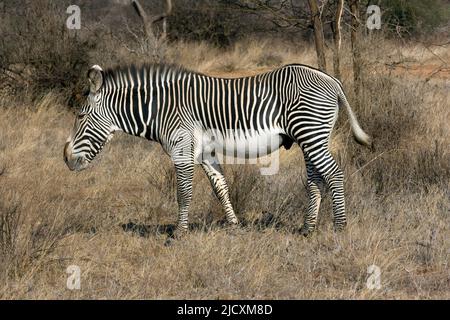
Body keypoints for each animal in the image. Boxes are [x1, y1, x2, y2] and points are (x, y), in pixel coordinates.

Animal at [64, 63, 372, 238]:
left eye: (80, 116)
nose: (65, 159)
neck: (161, 109)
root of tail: (332, 80)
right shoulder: (204, 153)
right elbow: (220, 186)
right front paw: (234, 226)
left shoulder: (182, 148)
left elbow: (183, 192)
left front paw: (179, 233)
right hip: (309, 137)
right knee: (316, 179)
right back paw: (308, 229)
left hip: (311, 132)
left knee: (334, 175)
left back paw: (340, 227)